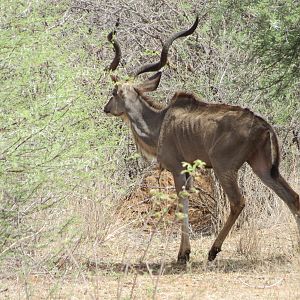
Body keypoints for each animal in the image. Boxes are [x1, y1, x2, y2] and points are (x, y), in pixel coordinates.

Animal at [103, 17, 300, 262]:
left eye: (113, 93)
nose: (106, 108)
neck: (160, 122)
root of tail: (263, 126)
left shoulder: (178, 169)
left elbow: (182, 204)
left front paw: (183, 254)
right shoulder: (189, 171)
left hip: (223, 167)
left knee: (238, 202)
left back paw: (213, 250)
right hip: (263, 168)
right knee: (292, 197)